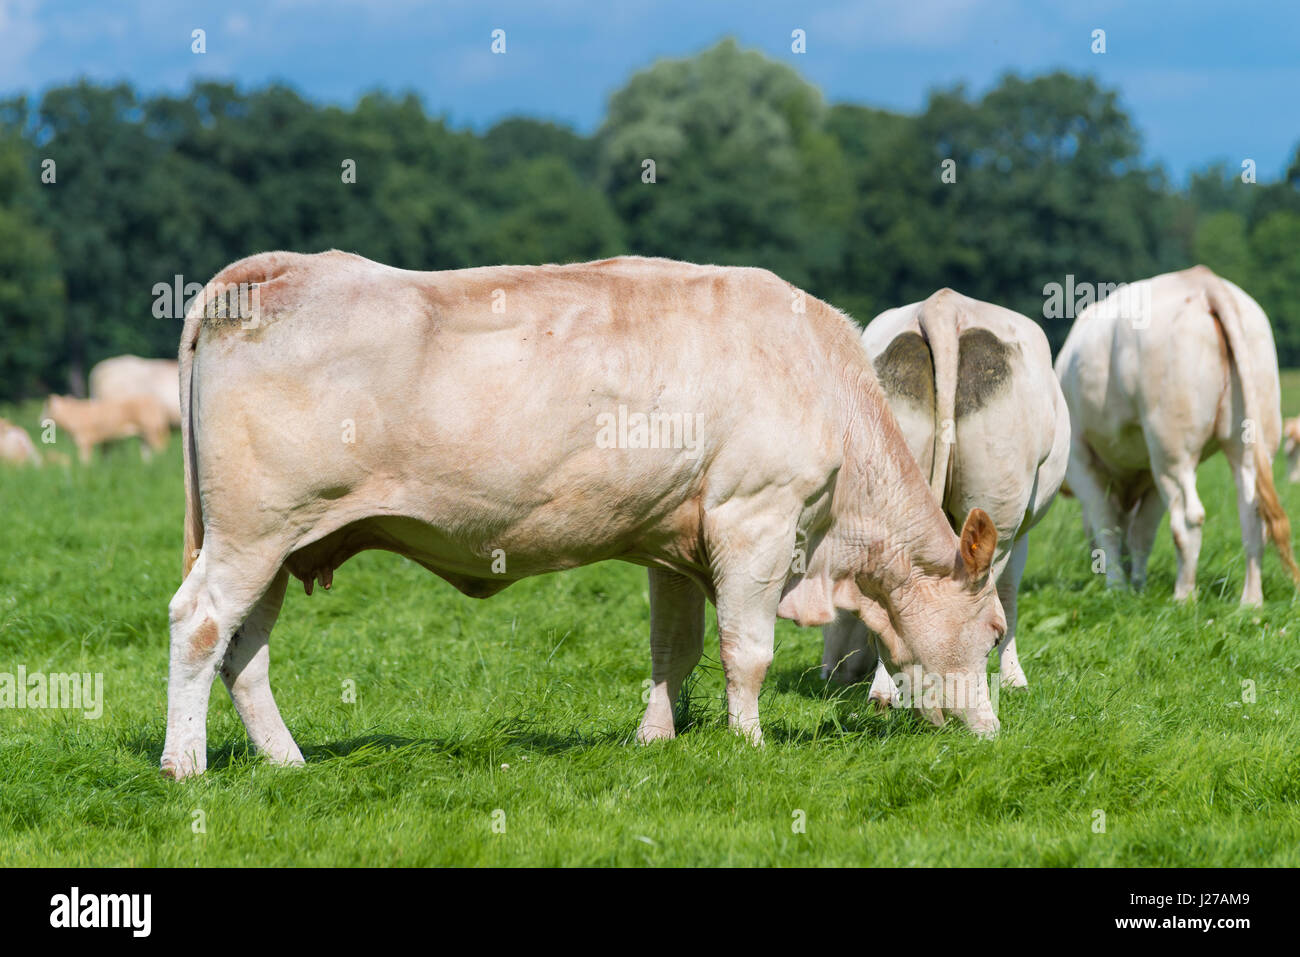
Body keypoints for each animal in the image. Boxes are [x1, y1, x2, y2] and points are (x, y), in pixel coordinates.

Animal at [42, 394, 170, 464]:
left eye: (47, 408)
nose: (41, 419)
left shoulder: (84, 441)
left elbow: (84, 461)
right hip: (144, 434)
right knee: (147, 451)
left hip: (152, 430)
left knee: (160, 448)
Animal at [161, 251, 1008, 779]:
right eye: (997, 628)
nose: (993, 733)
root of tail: (270, 268)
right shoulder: (756, 518)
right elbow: (747, 650)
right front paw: (751, 744)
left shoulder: (677, 541)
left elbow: (676, 648)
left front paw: (655, 738)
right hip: (250, 532)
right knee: (201, 624)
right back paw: (185, 764)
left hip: (280, 542)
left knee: (245, 651)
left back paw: (287, 761)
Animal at [821, 289, 1069, 702]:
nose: (830, 673)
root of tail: (943, 306)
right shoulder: (1020, 533)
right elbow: (1009, 597)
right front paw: (1014, 679)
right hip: (998, 510)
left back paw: (885, 691)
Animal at [1054, 265, 1299, 605]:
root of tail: (1203, 282)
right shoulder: (1149, 473)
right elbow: (1140, 532)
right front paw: (1138, 586)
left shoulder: (1080, 460)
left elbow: (1107, 526)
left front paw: (1118, 588)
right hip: (1244, 441)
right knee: (1253, 513)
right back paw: (1250, 602)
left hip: (1172, 448)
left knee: (1187, 519)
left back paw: (1184, 597)